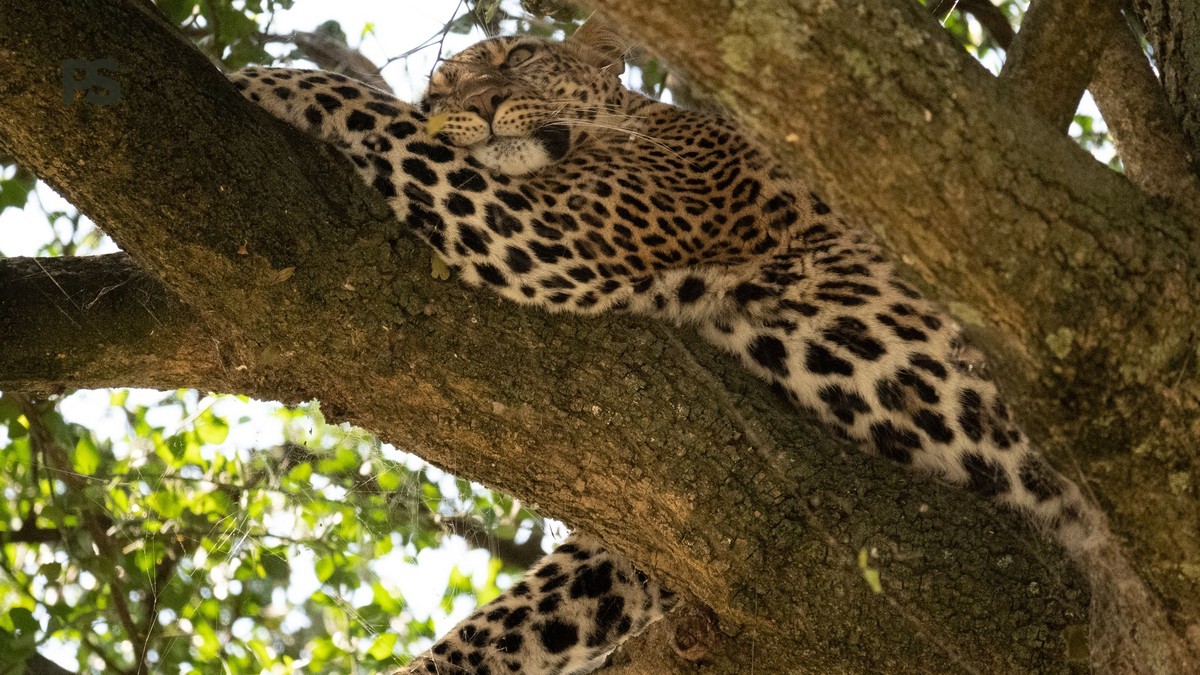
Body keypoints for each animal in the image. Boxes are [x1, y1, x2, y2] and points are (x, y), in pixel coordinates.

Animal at [231, 18, 1186, 675]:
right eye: (444, 87)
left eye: (519, 58)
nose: (475, 106)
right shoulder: (643, 530)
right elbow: (527, 614)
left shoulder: (557, 234)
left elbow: (380, 116)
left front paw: (264, 78)